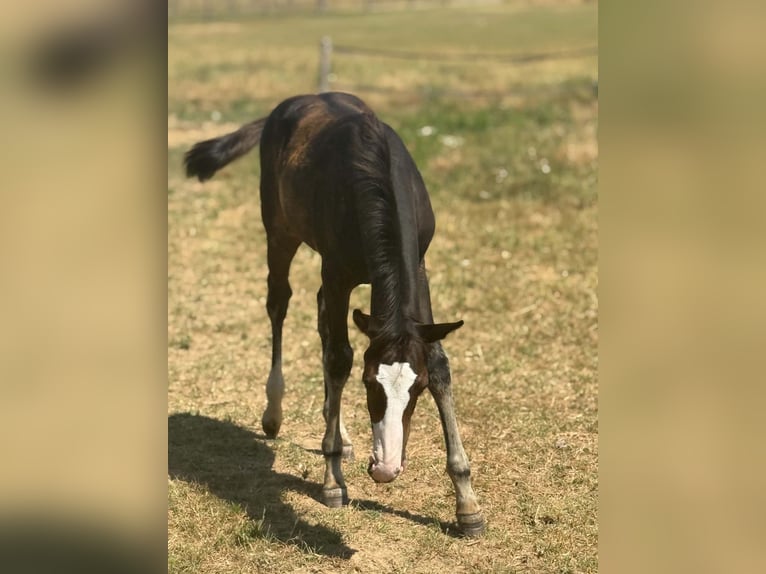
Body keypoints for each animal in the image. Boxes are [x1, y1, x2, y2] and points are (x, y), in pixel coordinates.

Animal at [183, 92, 485, 536]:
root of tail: (289, 104)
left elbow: (438, 360)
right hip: (280, 232)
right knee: (281, 304)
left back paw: (339, 432)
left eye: (418, 388)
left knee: (321, 315)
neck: (375, 177)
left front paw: (467, 504)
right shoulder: (337, 269)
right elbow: (340, 358)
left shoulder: (418, 268)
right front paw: (332, 482)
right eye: (369, 382)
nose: (386, 470)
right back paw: (276, 414)